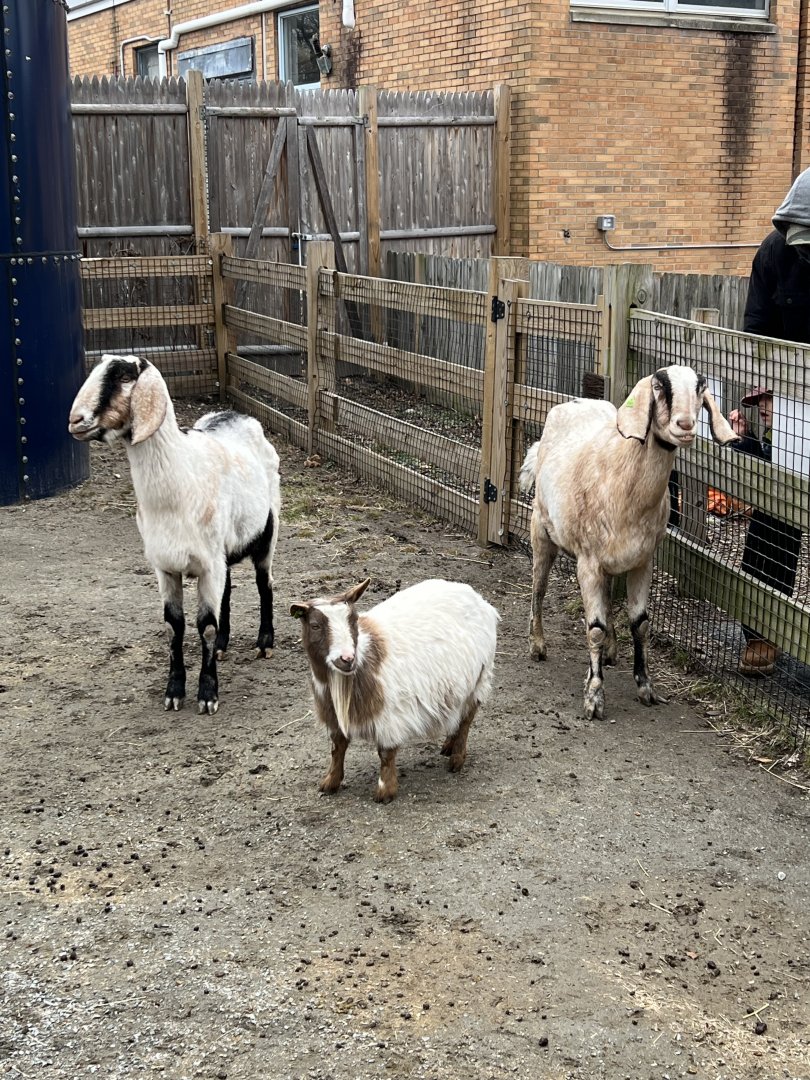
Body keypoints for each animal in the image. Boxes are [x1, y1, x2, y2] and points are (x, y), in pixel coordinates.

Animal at [68, 354, 281, 715]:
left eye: (124, 376)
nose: (75, 421)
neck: (180, 480)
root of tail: (238, 414)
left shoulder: (208, 563)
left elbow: (204, 627)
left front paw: (208, 694)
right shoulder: (166, 567)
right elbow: (174, 627)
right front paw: (174, 691)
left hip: (268, 531)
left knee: (263, 584)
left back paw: (265, 643)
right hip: (221, 552)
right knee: (228, 592)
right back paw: (224, 644)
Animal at [290, 578, 499, 802]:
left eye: (354, 620)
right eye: (315, 625)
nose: (347, 658)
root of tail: (479, 599)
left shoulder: (390, 715)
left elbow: (386, 753)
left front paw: (385, 791)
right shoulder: (333, 714)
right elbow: (337, 747)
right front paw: (330, 782)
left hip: (479, 679)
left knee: (467, 719)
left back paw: (457, 759)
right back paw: (448, 745)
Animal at [518, 365, 738, 721]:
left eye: (700, 389)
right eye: (660, 387)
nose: (686, 425)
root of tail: (576, 401)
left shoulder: (642, 561)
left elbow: (641, 624)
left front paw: (645, 687)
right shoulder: (588, 562)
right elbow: (593, 627)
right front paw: (594, 697)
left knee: (607, 598)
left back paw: (609, 651)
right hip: (541, 528)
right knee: (538, 586)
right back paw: (537, 645)